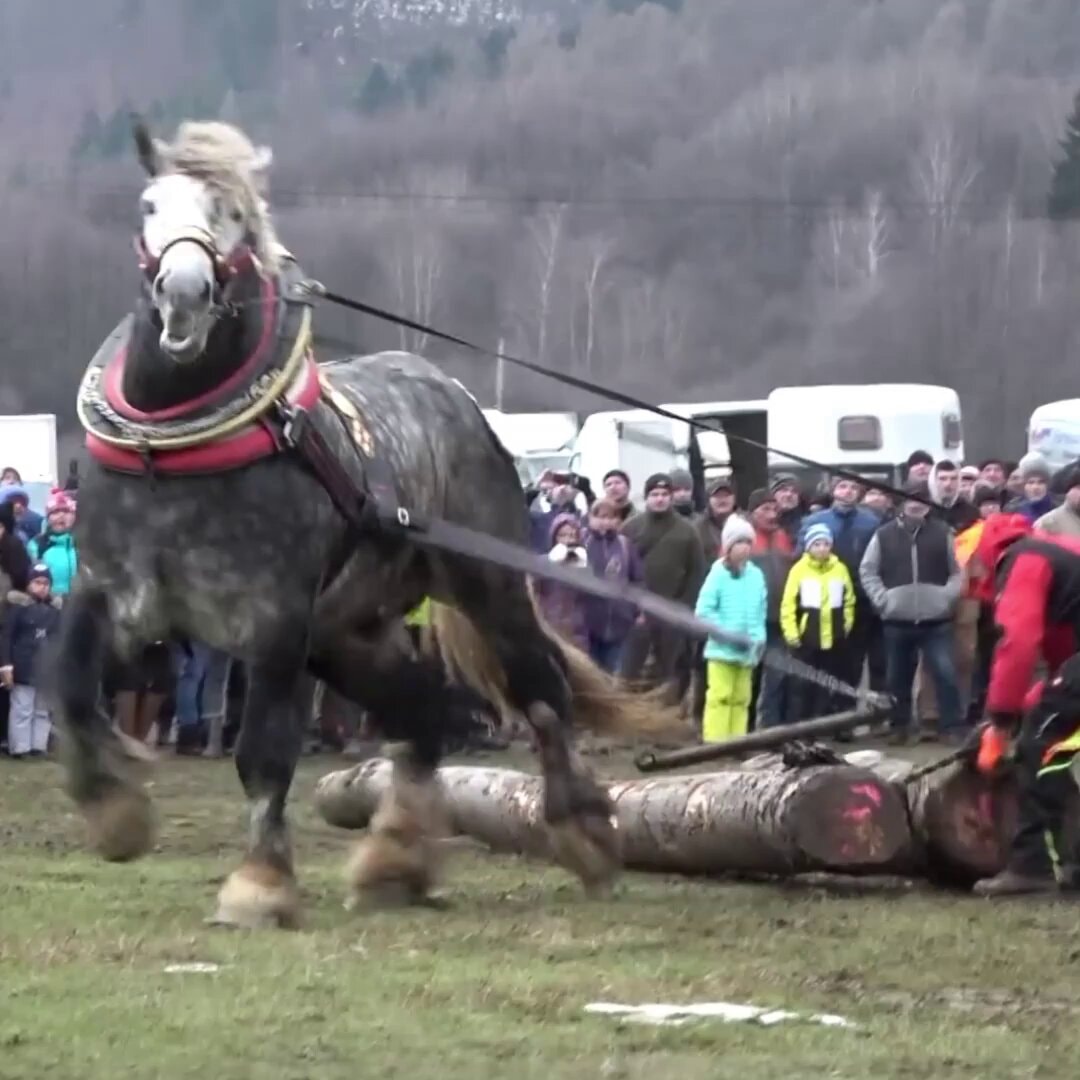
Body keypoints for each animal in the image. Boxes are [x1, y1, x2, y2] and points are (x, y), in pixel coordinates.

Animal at [56, 118, 676, 928]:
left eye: (232, 213)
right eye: (149, 204)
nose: (184, 293)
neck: (172, 451)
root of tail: (454, 395)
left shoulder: (275, 622)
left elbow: (263, 751)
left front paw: (259, 885)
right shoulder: (110, 592)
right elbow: (68, 683)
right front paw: (116, 814)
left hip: (485, 586)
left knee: (541, 694)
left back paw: (585, 835)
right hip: (348, 631)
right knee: (425, 712)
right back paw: (395, 862)